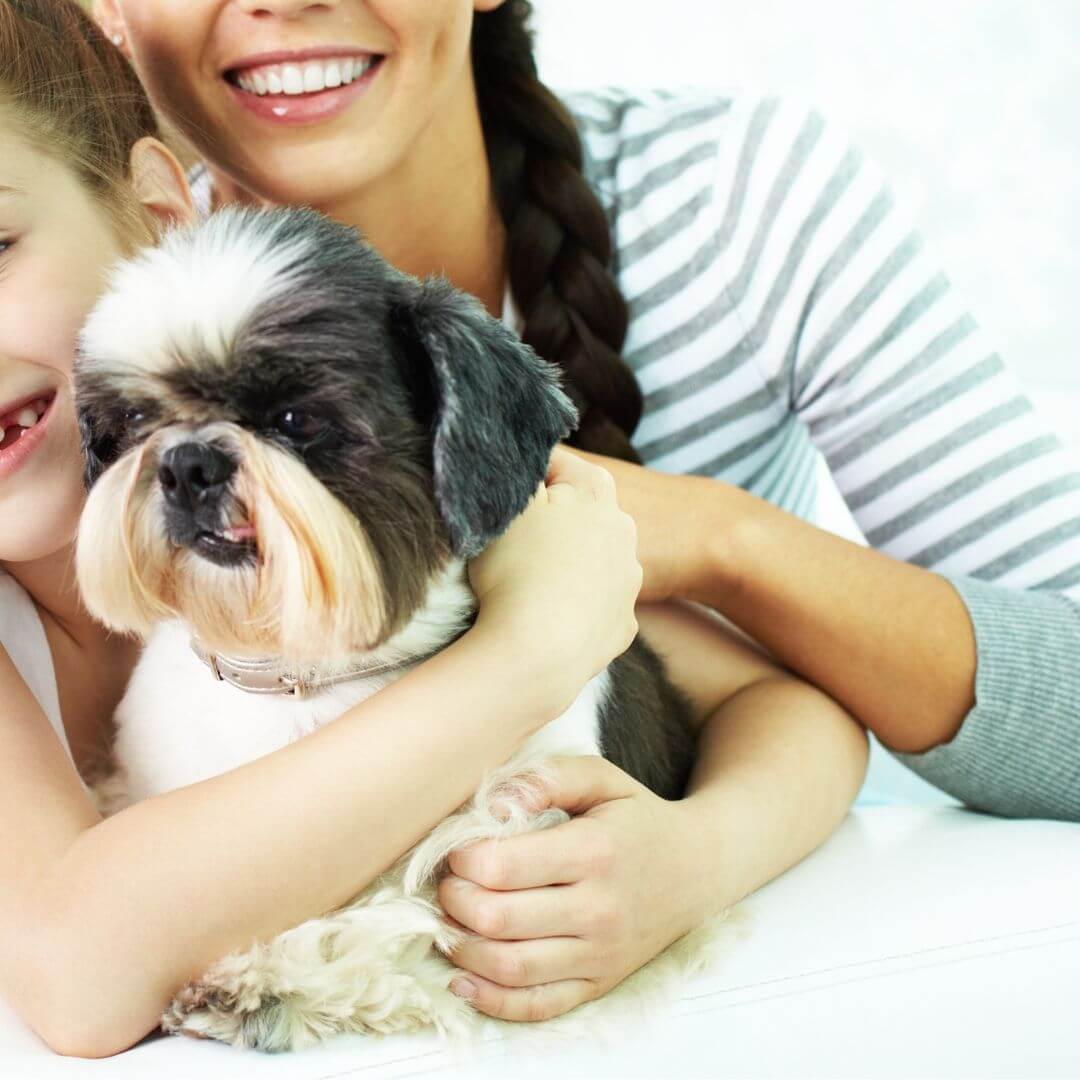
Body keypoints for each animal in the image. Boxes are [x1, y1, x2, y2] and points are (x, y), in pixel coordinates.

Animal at [73, 206, 717, 1049]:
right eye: (137, 422)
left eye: (296, 419)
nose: (185, 462)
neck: (304, 677)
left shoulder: (514, 826)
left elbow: (408, 917)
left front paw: (269, 979)